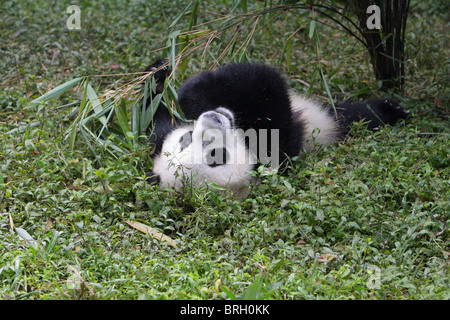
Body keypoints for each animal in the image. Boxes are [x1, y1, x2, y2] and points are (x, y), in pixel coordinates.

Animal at [143, 60, 408, 198]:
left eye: (185, 138)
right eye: (216, 157)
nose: (213, 121)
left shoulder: (158, 133)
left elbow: (156, 117)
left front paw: (162, 75)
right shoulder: (279, 157)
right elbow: (270, 93)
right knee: (359, 117)